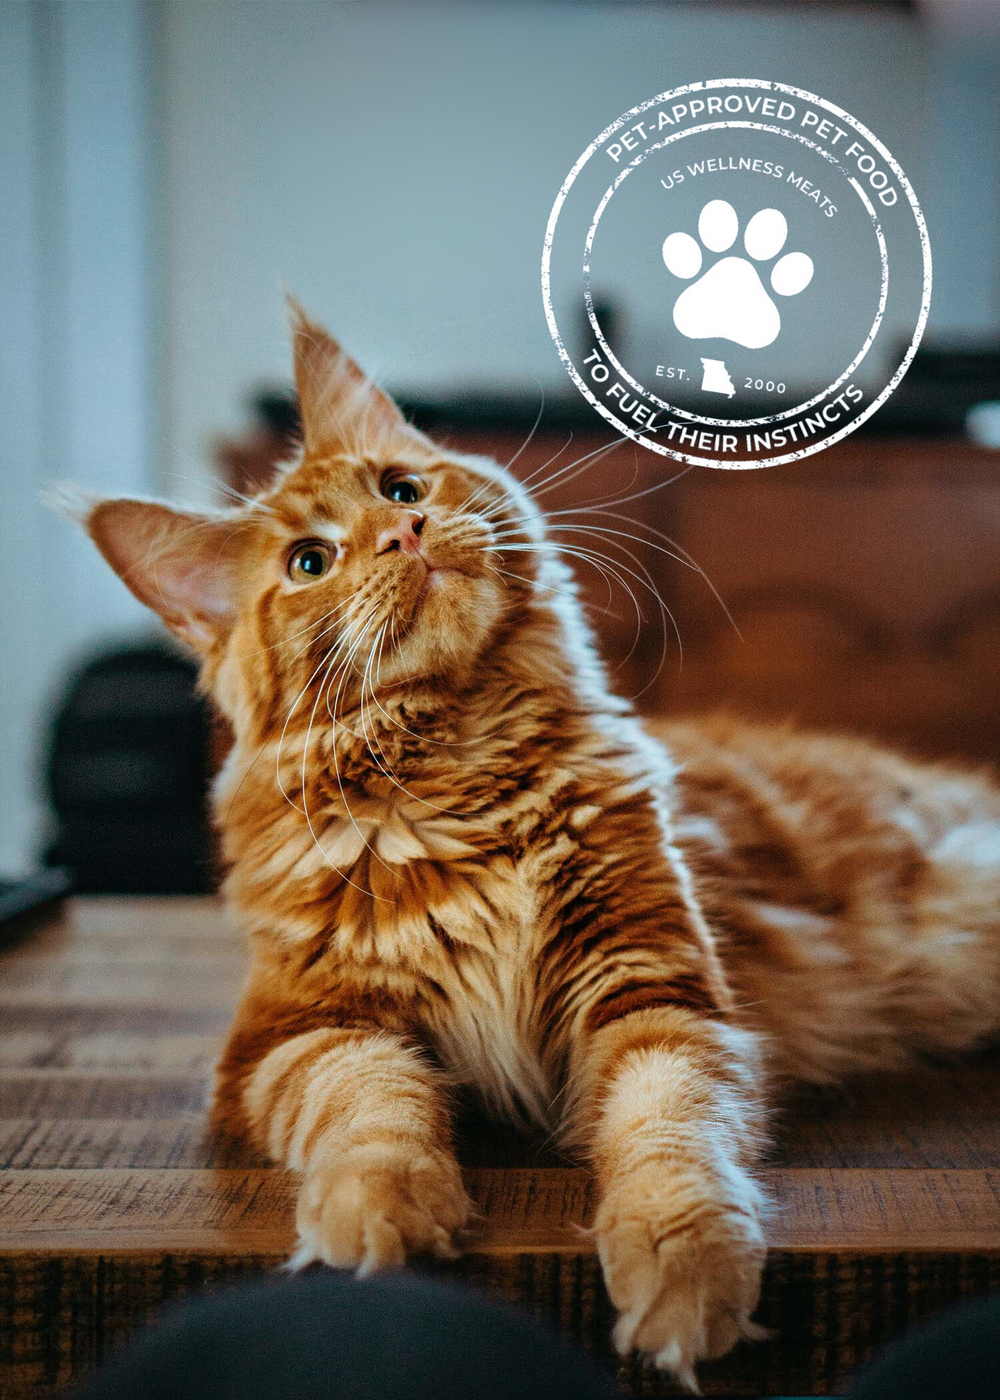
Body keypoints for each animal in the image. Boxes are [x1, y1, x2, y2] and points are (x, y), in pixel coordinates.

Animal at [72, 306, 997, 1388]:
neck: (461, 780)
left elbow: (669, 1135)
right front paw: (378, 1216)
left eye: (401, 489)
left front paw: (685, 1265)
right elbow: (369, 1104)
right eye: (308, 562)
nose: (405, 532)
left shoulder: (655, 990)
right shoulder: (295, 1030)